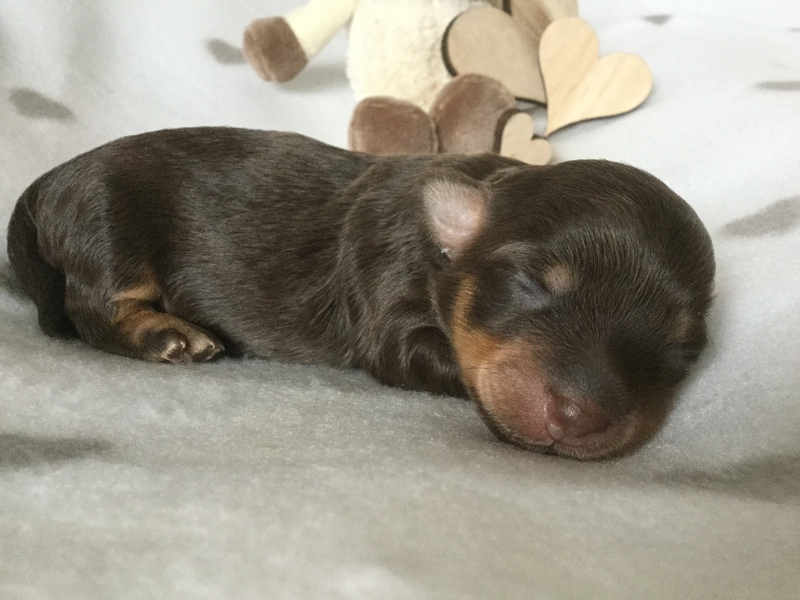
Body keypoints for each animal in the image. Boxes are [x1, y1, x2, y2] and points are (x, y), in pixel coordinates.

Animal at [7, 127, 715, 459]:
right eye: (531, 283)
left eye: (681, 352)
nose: (582, 419)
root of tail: (48, 182)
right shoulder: (391, 296)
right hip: (109, 218)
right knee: (90, 306)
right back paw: (165, 333)